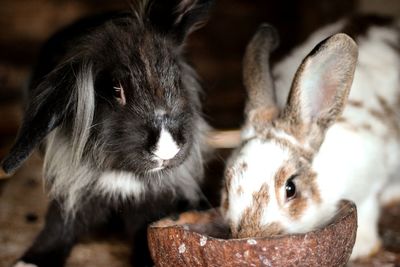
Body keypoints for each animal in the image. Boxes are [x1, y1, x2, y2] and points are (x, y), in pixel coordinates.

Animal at [1, 1, 214, 266]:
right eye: (116, 90)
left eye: (176, 80)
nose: (167, 150)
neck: (121, 173)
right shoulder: (71, 191)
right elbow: (58, 225)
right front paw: (30, 261)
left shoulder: (151, 202)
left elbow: (145, 232)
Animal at [222, 15, 400, 260]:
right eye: (227, 187)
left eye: (291, 189)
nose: (252, 234)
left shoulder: (371, 171)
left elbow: (368, 205)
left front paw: (363, 246)